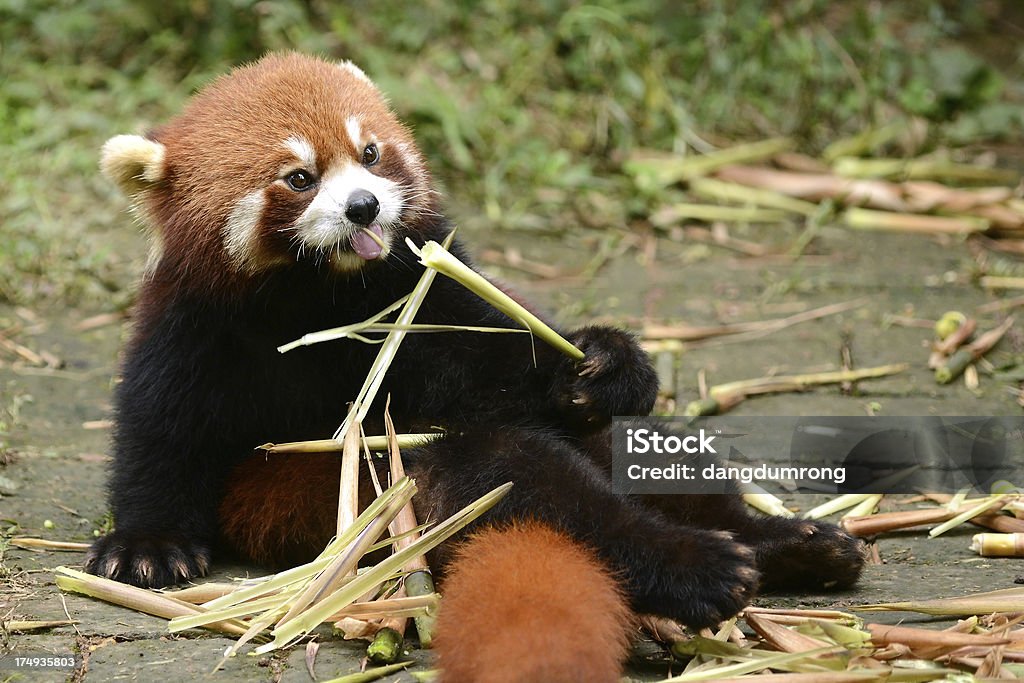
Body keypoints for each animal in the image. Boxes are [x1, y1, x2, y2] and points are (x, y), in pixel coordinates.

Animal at [90, 52, 864, 679]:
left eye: (371, 152)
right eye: (300, 177)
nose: (364, 205)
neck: (329, 291)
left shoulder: (425, 294)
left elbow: (504, 358)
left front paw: (606, 362)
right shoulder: (196, 329)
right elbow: (161, 431)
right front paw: (147, 545)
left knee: (644, 455)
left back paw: (790, 544)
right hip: (348, 495)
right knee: (522, 481)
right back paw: (701, 564)